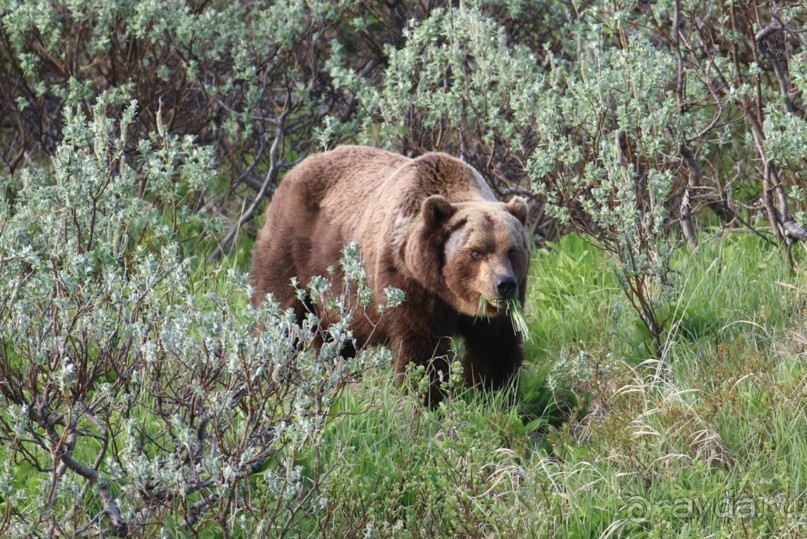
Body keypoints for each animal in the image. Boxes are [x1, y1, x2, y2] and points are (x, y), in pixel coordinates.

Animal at [251, 146, 532, 402]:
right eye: (476, 252)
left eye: (512, 251)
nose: (504, 284)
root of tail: (294, 170)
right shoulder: (407, 282)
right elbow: (422, 349)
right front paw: (427, 397)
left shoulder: (495, 311)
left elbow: (495, 345)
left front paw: (495, 393)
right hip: (293, 249)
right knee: (279, 311)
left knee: (336, 339)